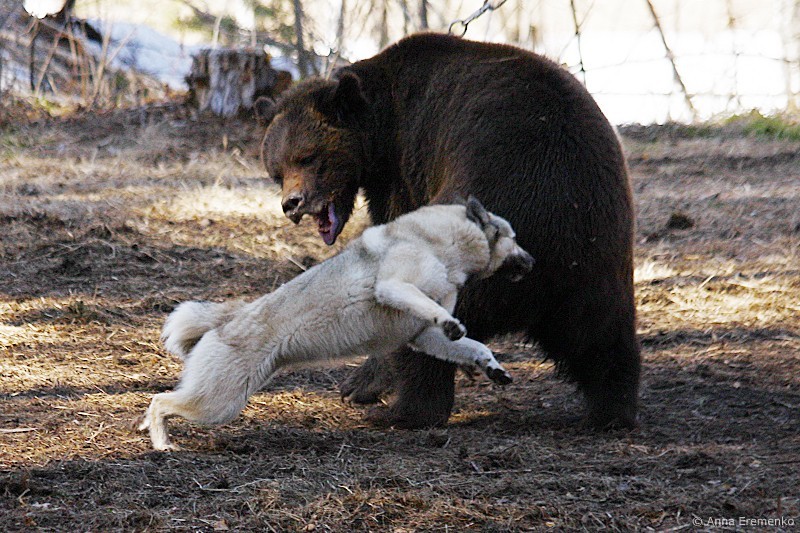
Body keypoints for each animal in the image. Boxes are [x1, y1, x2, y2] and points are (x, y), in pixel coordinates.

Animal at [138, 197, 534, 450]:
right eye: (514, 238)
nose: (532, 261)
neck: (438, 243)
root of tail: (225, 321)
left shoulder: (425, 336)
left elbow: (474, 346)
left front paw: (492, 367)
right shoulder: (394, 287)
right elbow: (437, 313)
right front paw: (453, 324)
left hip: (220, 399)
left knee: (164, 401)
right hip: (217, 403)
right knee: (159, 400)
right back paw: (161, 443)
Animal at [257, 33, 640, 430]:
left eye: (309, 157)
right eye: (276, 169)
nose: (292, 203)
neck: (380, 130)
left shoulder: (407, 164)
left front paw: (359, 384)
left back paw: (402, 410)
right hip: (594, 257)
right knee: (604, 339)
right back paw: (612, 410)